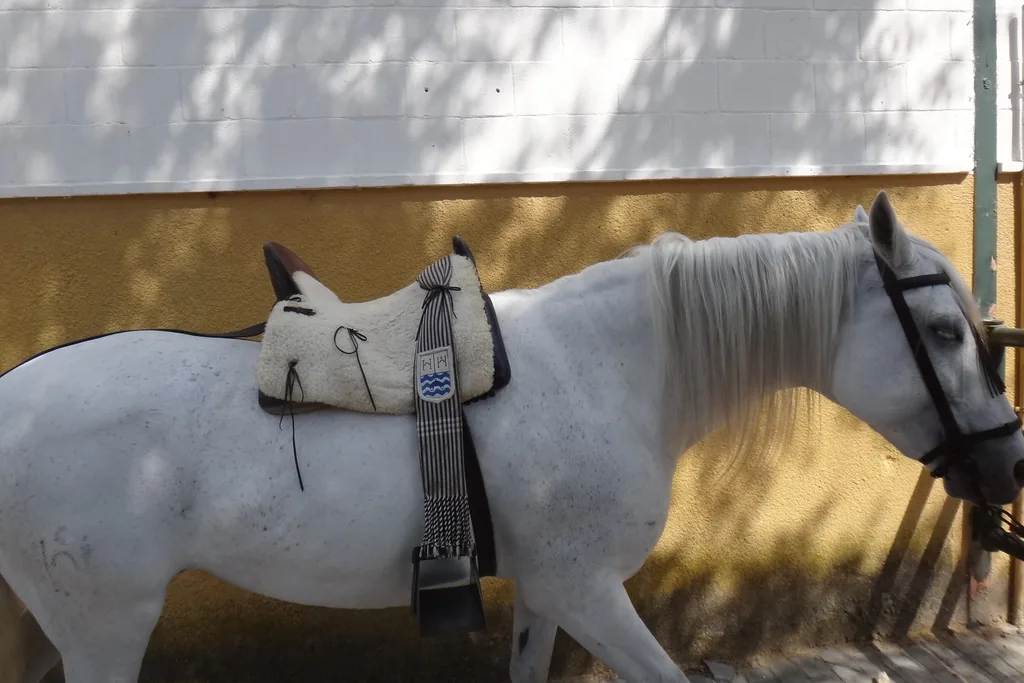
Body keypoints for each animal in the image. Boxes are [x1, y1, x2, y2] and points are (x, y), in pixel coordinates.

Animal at [0, 190, 1021, 683]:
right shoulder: (588, 589)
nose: (1008, 465)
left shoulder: (546, 588)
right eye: (942, 333)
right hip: (104, 626)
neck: (613, 366)